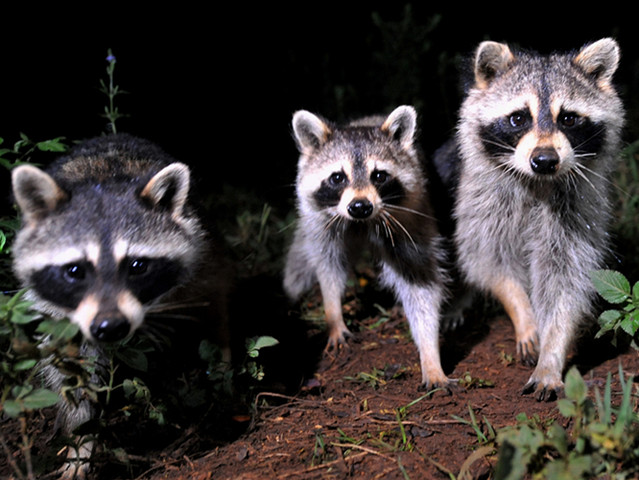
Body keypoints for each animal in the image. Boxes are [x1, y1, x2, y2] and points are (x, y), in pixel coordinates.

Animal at [11, 133, 230, 478]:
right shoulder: (60, 312)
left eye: (137, 266)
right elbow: (74, 372)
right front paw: (81, 441)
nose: (111, 326)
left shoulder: (200, 257)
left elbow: (214, 313)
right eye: (75, 270)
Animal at [282, 105, 452, 390]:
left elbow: (420, 285)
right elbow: (329, 267)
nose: (360, 206)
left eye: (379, 176)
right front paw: (333, 312)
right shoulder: (322, 223)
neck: (362, 223)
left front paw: (430, 354)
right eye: (337, 178)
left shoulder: (411, 220)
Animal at [436, 38, 624, 402]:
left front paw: (552, 353)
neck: (538, 182)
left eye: (569, 118)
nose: (545, 160)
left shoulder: (577, 211)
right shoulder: (481, 202)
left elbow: (565, 281)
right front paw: (522, 312)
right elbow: (490, 263)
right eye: (519, 118)